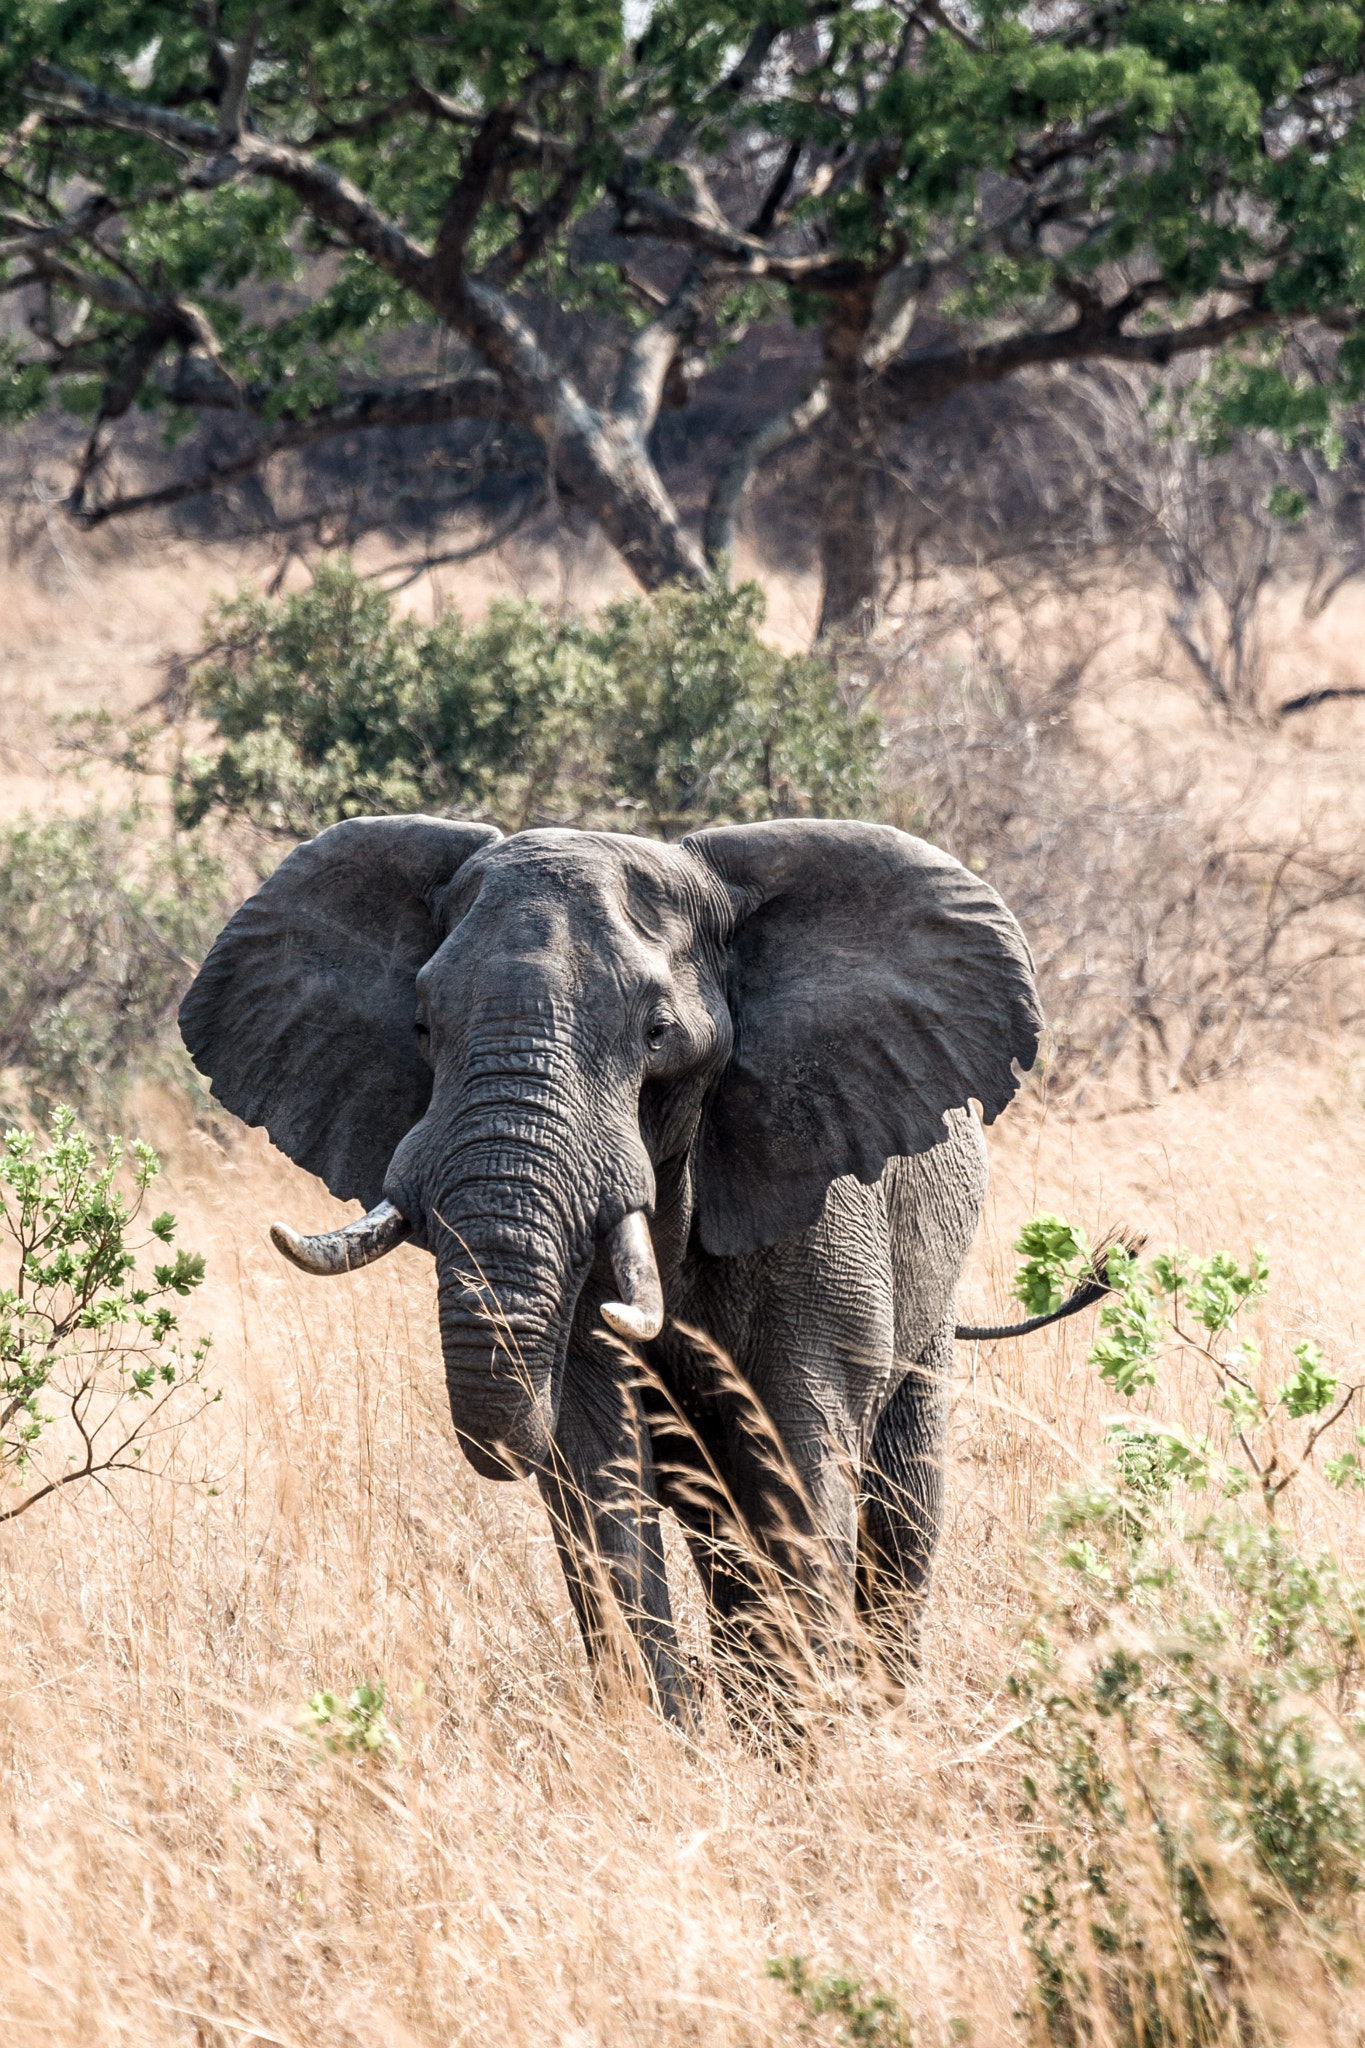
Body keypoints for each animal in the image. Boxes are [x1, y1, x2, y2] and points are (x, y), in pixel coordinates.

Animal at [181, 806, 1055, 1720]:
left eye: (657, 1033)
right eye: (422, 1028)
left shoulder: (819, 1198)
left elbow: (795, 1456)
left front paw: (803, 1737)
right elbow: (596, 1463)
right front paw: (664, 1734)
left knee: (900, 1501)